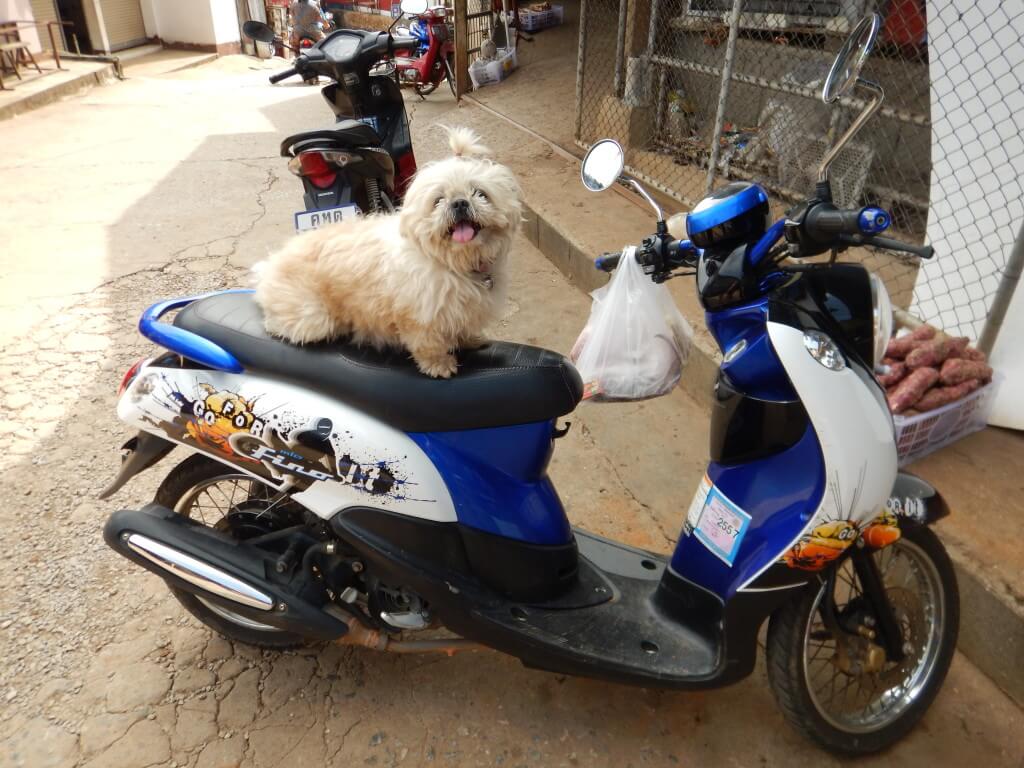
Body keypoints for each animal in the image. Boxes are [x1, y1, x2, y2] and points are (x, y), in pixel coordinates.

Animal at [254, 126, 524, 378]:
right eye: (438, 200)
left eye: (480, 193)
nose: (459, 202)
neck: (455, 263)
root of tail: (269, 267)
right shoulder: (420, 318)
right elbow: (429, 345)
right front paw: (439, 365)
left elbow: (462, 327)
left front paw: (469, 340)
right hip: (314, 318)